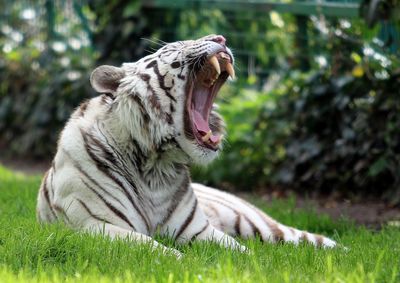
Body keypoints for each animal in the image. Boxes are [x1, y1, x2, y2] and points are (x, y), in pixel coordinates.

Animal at [37, 34, 338, 258]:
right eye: (174, 47)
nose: (221, 38)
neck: (155, 167)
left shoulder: (198, 231)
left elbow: (240, 251)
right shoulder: (97, 226)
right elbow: (155, 248)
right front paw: (179, 260)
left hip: (257, 224)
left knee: (307, 237)